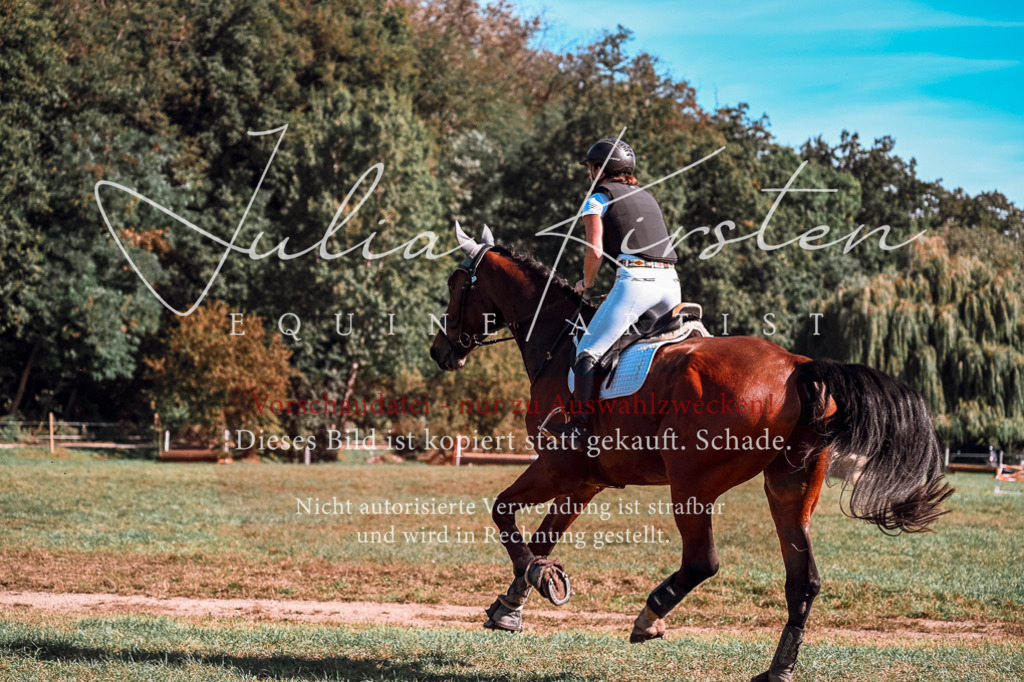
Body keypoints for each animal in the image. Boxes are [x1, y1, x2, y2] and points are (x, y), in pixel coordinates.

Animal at [429, 226, 953, 682]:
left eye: (455, 284)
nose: (439, 351)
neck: (557, 342)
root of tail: (797, 366)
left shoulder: (558, 468)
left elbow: (503, 512)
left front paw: (533, 582)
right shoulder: (584, 482)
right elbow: (542, 538)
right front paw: (516, 600)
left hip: (691, 484)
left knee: (704, 561)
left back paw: (650, 617)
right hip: (790, 485)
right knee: (803, 580)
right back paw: (777, 670)